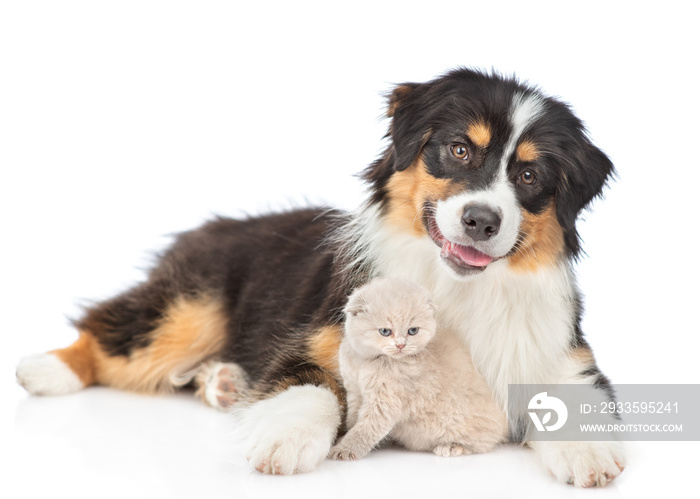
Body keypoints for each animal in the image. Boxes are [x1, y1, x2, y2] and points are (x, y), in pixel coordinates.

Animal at [328, 278, 504, 460]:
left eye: (412, 331)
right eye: (385, 331)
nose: (400, 345)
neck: (368, 362)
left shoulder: (385, 403)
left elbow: (364, 430)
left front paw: (345, 449)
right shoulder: (354, 392)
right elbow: (353, 420)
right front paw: (343, 438)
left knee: (482, 443)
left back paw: (450, 447)